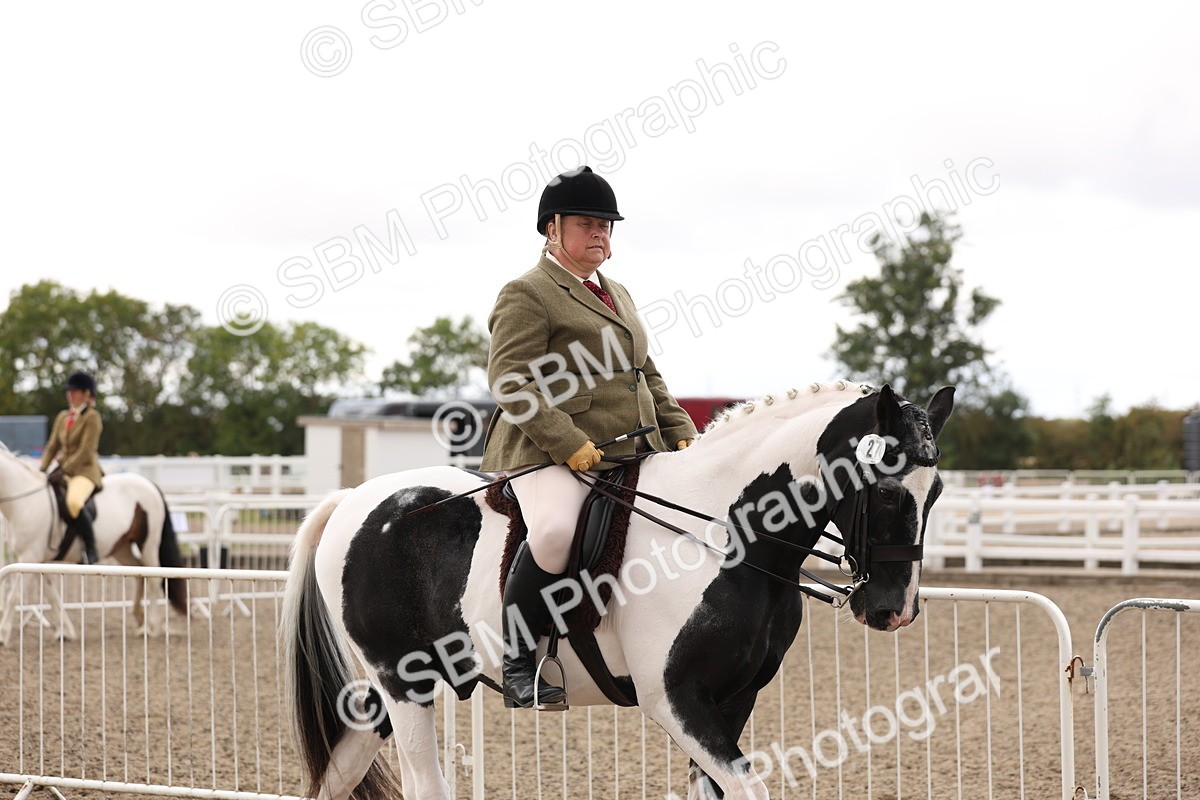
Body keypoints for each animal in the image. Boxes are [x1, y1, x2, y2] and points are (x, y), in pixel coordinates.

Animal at [0, 442, 187, 644]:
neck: (27, 501)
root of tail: (150, 484)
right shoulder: (37, 561)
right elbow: (52, 595)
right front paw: (65, 631)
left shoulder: (30, 556)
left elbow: (14, 596)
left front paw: (3, 635)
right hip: (121, 548)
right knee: (139, 573)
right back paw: (140, 620)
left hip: (148, 543)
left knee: (154, 577)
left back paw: (151, 627)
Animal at [281, 380, 955, 800]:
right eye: (887, 491)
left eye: (939, 492)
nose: (893, 610)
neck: (726, 533)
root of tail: (356, 498)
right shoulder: (674, 699)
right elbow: (750, 787)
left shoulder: (733, 699)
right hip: (404, 682)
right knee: (425, 785)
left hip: (387, 697)